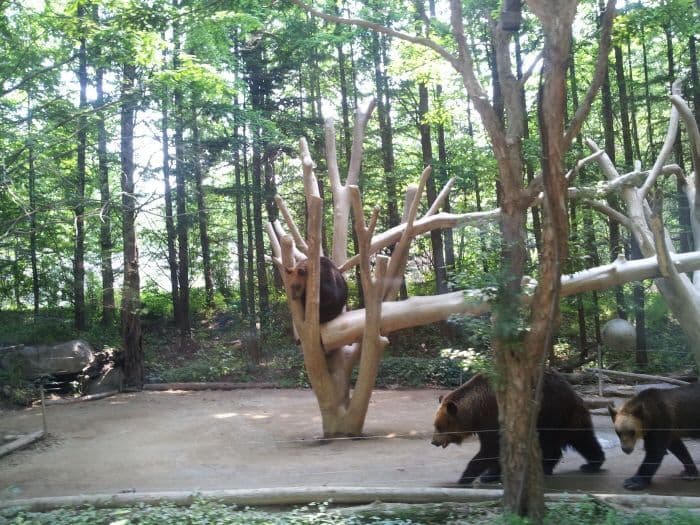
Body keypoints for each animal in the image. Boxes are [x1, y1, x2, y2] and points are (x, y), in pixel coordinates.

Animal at [431, 370, 605, 485]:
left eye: (440, 426)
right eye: (435, 425)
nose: (434, 442)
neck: (476, 411)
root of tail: (572, 390)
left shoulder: (494, 418)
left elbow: (490, 450)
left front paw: (469, 477)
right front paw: (489, 475)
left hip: (552, 413)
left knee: (579, 438)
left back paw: (590, 464)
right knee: (574, 439)